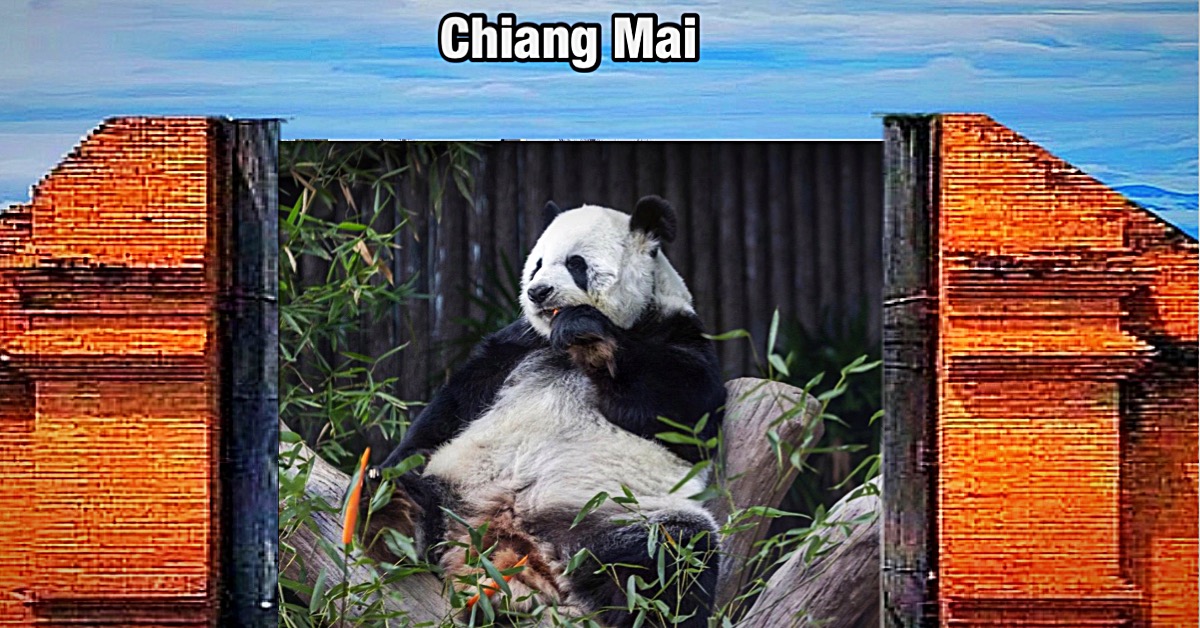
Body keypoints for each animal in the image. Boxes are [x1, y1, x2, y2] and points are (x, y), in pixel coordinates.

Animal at [375, 195, 726, 627]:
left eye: (576, 263)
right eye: (538, 263)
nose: (538, 292)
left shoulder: (677, 331)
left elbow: (688, 412)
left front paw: (588, 331)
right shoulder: (518, 345)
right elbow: (453, 404)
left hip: (617, 512)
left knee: (671, 557)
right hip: (457, 482)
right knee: (415, 487)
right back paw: (391, 509)